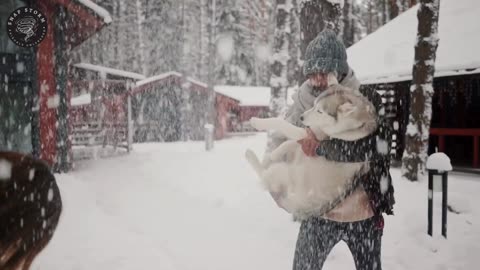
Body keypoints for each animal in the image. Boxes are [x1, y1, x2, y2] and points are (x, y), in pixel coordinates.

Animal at [246, 79, 376, 218]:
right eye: (313, 105)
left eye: (320, 111)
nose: (302, 117)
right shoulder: (311, 134)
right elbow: (291, 142)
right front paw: (275, 153)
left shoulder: (309, 137)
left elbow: (282, 124)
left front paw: (257, 122)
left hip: (284, 173)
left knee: (264, 175)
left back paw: (250, 155)